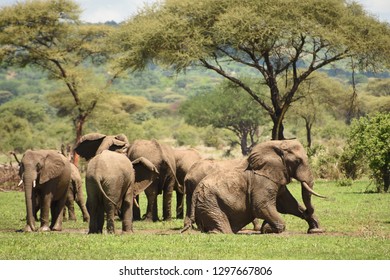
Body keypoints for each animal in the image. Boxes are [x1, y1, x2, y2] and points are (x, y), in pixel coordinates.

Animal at [184, 140, 324, 234]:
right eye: (297, 161)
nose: (315, 229)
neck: (277, 144)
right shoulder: (262, 180)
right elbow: (261, 206)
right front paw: (267, 228)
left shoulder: (276, 178)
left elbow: (288, 205)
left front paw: (315, 227)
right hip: (209, 202)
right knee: (223, 228)